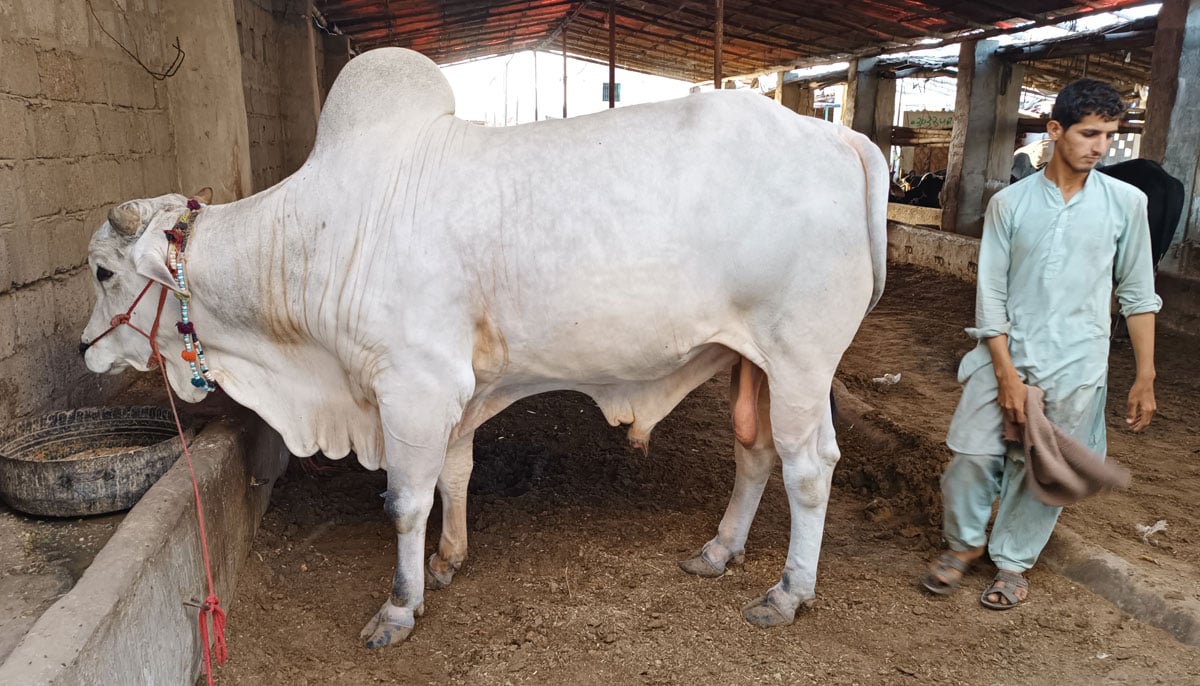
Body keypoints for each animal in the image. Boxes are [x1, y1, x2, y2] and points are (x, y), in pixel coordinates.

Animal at [82, 48, 883, 647]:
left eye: (101, 272)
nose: (85, 349)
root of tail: (839, 137)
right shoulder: (453, 392)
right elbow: (454, 475)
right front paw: (449, 559)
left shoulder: (414, 385)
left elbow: (405, 500)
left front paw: (399, 606)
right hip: (755, 363)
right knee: (757, 453)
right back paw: (719, 550)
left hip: (803, 358)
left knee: (810, 468)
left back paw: (788, 592)